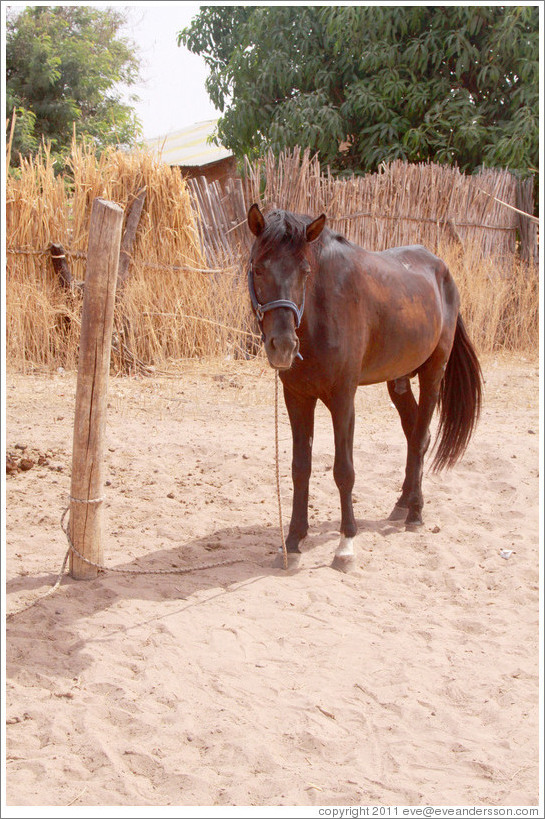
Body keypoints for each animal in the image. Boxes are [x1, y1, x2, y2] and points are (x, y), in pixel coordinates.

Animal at [246, 203, 480, 572]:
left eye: (305, 271)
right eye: (257, 268)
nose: (282, 346)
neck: (320, 311)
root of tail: (441, 270)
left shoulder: (343, 399)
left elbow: (344, 471)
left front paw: (346, 545)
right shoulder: (297, 397)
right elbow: (300, 469)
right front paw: (294, 542)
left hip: (433, 374)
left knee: (421, 436)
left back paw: (415, 513)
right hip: (398, 381)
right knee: (416, 436)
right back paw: (403, 504)